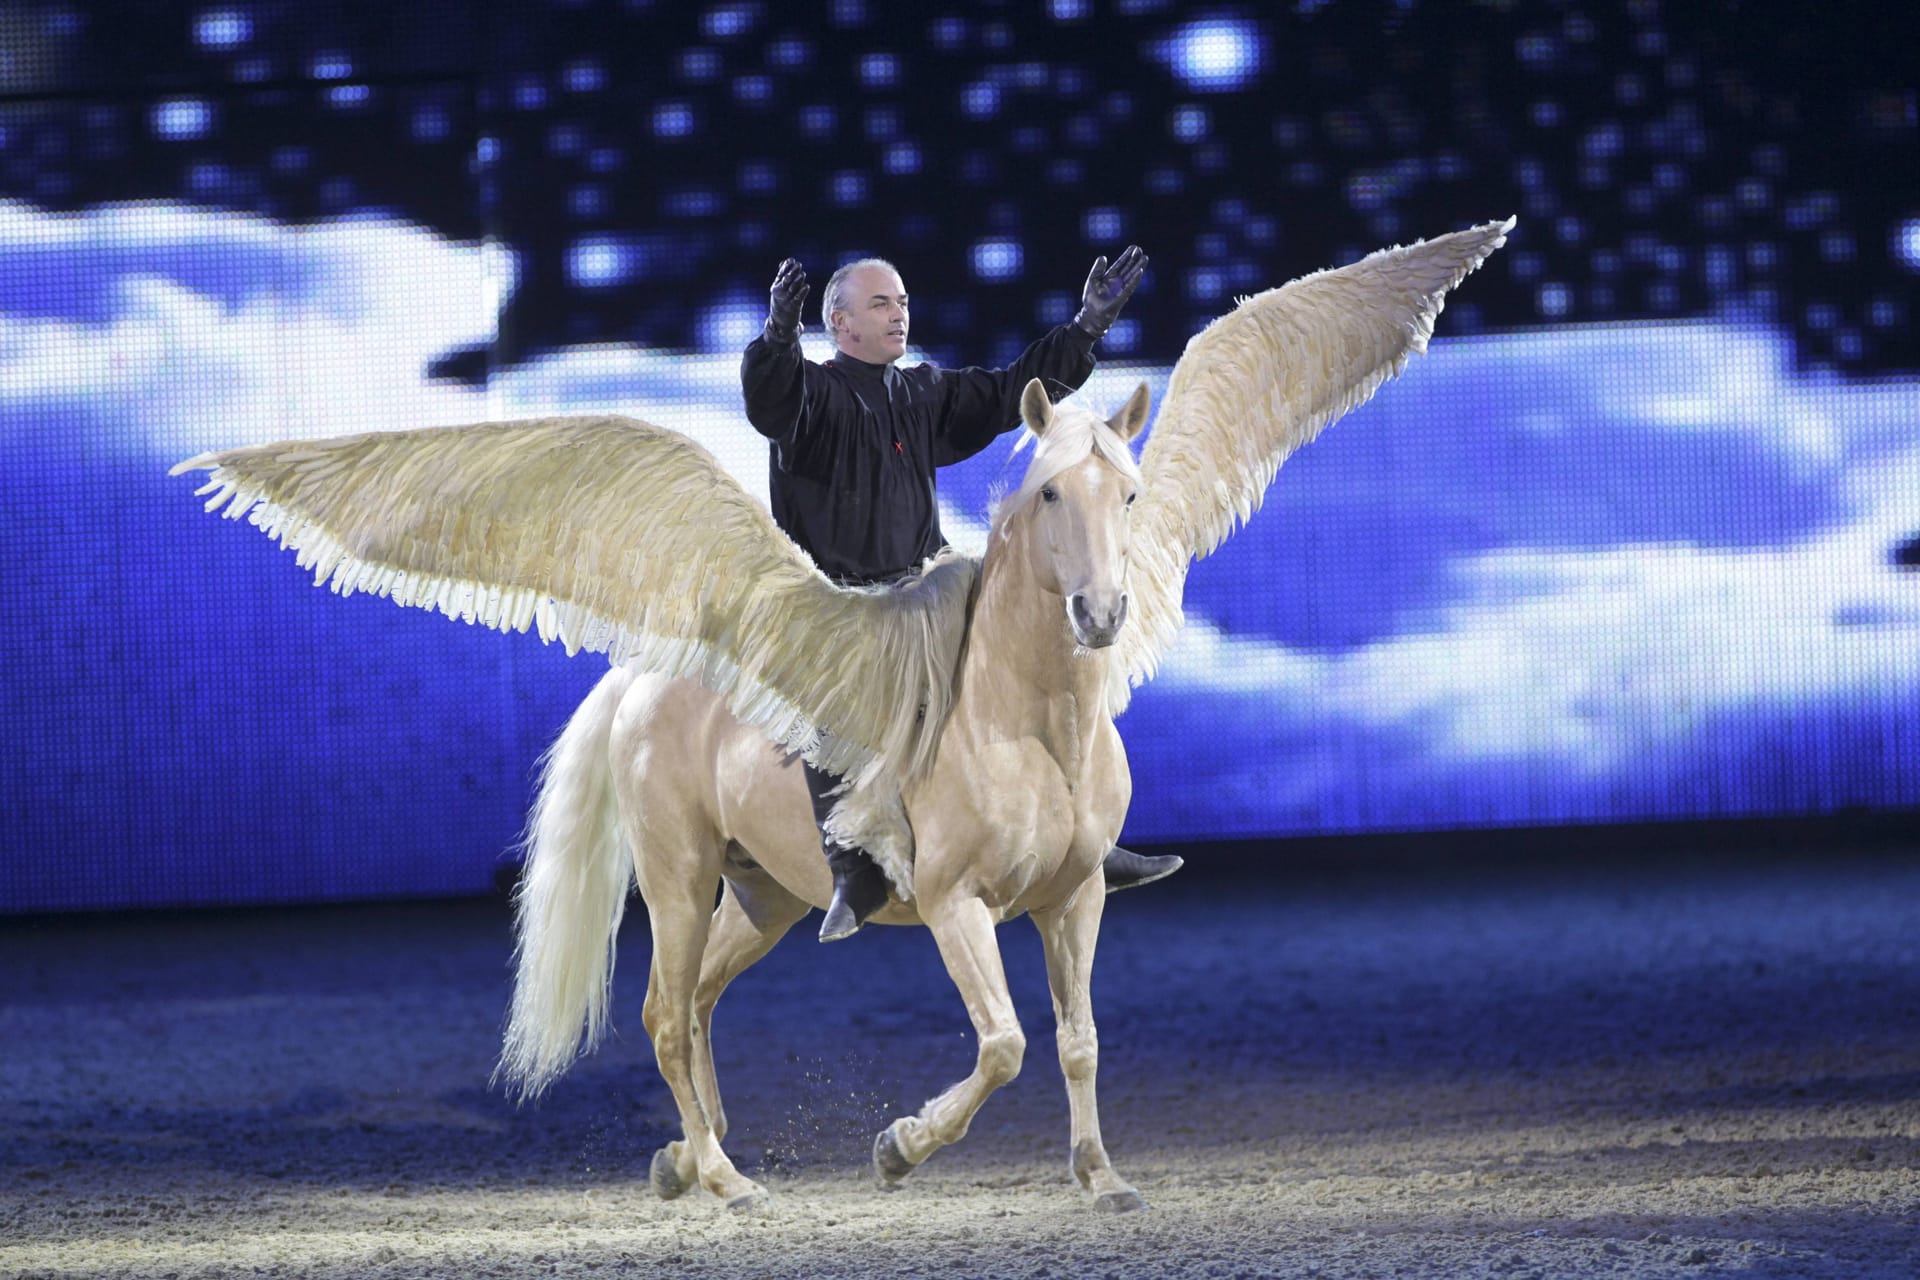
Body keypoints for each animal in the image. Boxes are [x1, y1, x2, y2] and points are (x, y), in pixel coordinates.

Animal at [503, 379, 1144, 1212]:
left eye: (1129, 494)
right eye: (1050, 492)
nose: (1099, 614)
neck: (1030, 726)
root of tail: (646, 679)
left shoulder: (1074, 899)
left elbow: (1079, 1042)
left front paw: (1101, 1177)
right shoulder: (956, 905)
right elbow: (1004, 1045)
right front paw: (898, 1148)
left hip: (763, 897)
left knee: (698, 1000)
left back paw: (685, 1156)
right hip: (680, 881)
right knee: (666, 1018)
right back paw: (724, 1178)